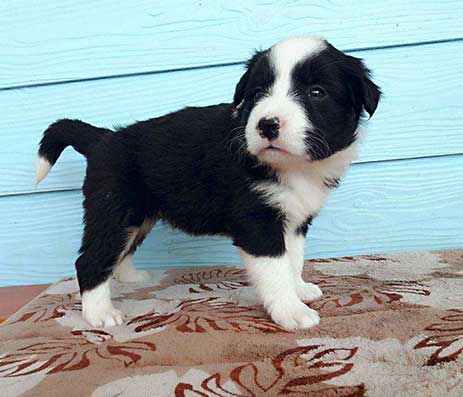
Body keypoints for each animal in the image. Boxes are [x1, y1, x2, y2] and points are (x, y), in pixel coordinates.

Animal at [36, 36, 382, 328]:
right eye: (257, 93)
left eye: (316, 93)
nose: (266, 125)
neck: (293, 168)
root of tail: (102, 138)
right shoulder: (257, 221)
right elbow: (275, 269)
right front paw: (292, 311)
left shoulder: (294, 220)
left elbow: (292, 260)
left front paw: (299, 288)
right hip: (114, 209)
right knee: (90, 260)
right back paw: (100, 314)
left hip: (138, 217)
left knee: (121, 251)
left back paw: (130, 278)